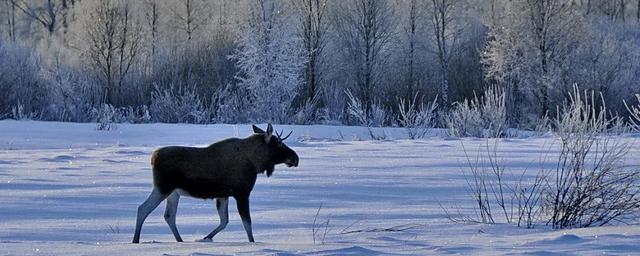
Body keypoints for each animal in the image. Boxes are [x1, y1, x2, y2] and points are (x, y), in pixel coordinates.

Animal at [132, 124, 300, 244]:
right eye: (279, 143)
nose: (295, 158)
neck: (256, 163)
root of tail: (153, 157)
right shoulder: (242, 193)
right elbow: (247, 222)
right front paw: (252, 243)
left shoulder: (223, 195)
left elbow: (224, 221)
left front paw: (206, 238)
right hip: (163, 188)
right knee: (142, 209)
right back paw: (135, 240)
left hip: (174, 192)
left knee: (169, 216)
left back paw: (180, 240)